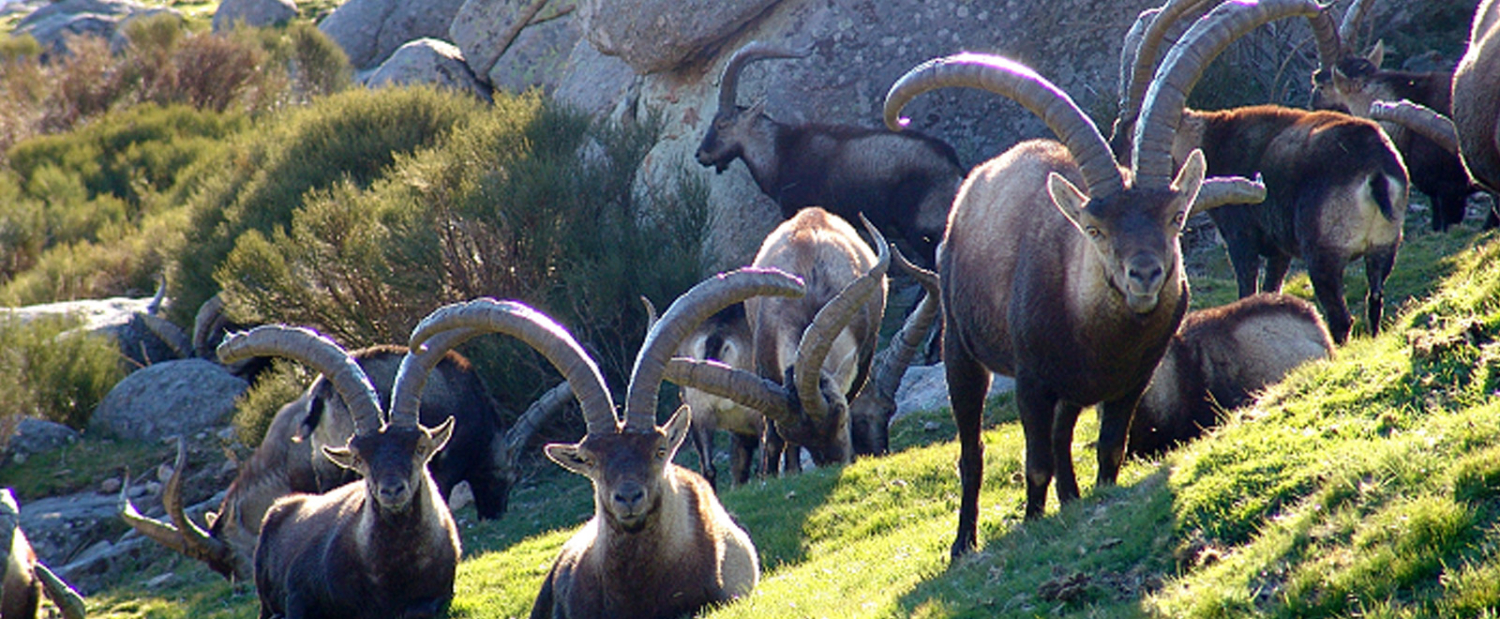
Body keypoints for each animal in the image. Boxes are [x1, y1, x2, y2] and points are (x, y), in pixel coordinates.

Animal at [695, 41, 965, 265]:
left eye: (721, 124)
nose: (700, 155)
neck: (778, 152)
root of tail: (954, 168)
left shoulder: (797, 208)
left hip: (922, 229)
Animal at [882, 28, 1267, 554]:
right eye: (1095, 229)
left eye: (1175, 217)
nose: (1145, 275)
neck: (1105, 337)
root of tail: (973, 186)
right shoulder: (1031, 381)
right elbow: (1035, 462)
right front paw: (1031, 522)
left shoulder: (1133, 378)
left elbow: (1109, 449)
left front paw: (1097, 497)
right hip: (961, 346)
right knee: (973, 450)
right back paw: (964, 543)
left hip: (1070, 390)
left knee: (1062, 436)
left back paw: (1070, 499)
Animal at [1112, 0, 1411, 344]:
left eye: (1128, 132)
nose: (1118, 157)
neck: (1208, 140)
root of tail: (1376, 171)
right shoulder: (1278, 250)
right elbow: (1272, 288)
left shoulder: (1242, 238)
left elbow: (1247, 288)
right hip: (1385, 247)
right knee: (1374, 302)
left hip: (1323, 255)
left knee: (1341, 318)